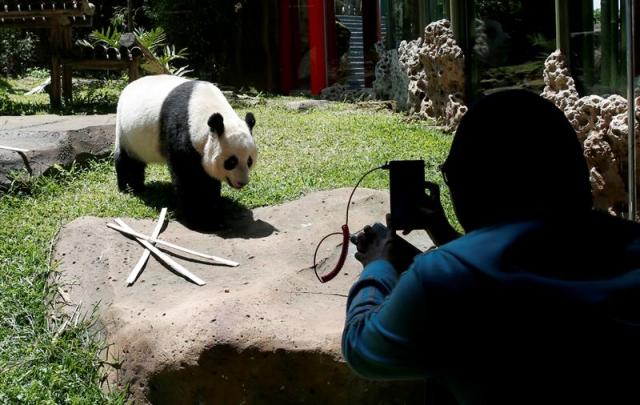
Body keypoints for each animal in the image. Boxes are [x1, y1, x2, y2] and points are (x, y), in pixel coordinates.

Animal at [115, 74, 258, 229]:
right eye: (231, 162)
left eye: (249, 161)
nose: (242, 182)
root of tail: (130, 85)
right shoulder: (182, 132)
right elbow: (190, 177)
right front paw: (201, 217)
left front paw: (213, 207)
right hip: (126, 131)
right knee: (128, 161)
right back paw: (131, 187)